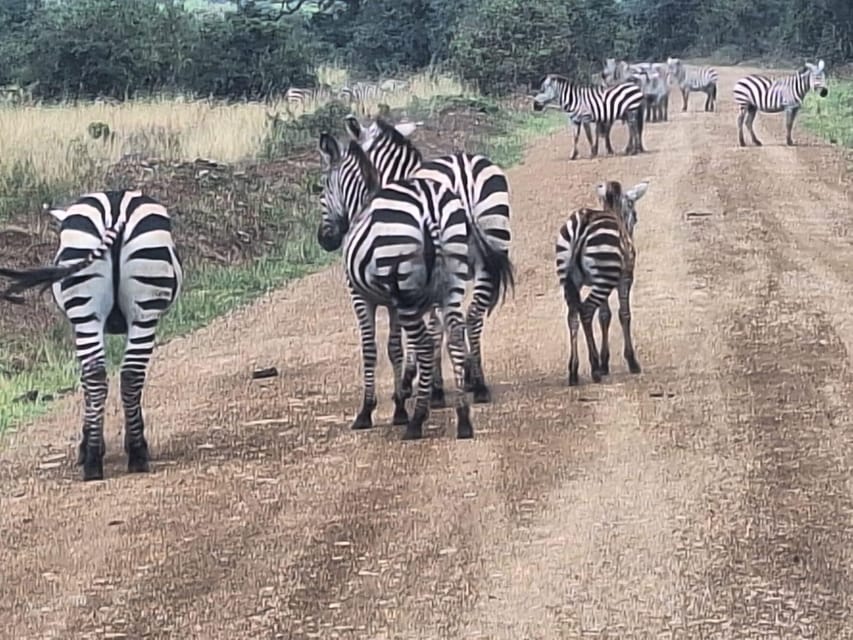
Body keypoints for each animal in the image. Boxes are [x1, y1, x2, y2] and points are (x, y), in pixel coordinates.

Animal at [0, 190, 183, 480]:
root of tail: (116, 211)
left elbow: (86, 380)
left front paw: (88, 444)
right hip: (136, 312)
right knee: (123, 375)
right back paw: (125, 455)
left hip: (99, 308)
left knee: (110, 375)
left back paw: (102, 458)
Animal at [342, 115, 516, 404]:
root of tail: (463, 175)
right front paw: (462, 374)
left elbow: (424, 331)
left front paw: (419, 380)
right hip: (491, 244)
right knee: (473, 315)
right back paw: (478, 384)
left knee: (446, 323)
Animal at [552, 178, 644, 384]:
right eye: (635, 216)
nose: (631, 232)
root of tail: (581, 226)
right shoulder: (624, 278)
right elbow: (624, 315)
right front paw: (631, 361)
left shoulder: (603, 280)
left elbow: (604, 316)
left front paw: (605, 362)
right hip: (603, 278)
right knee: (586, 311)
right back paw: (593, 368)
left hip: (573, 280)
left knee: (572, 317)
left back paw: (573, 371)